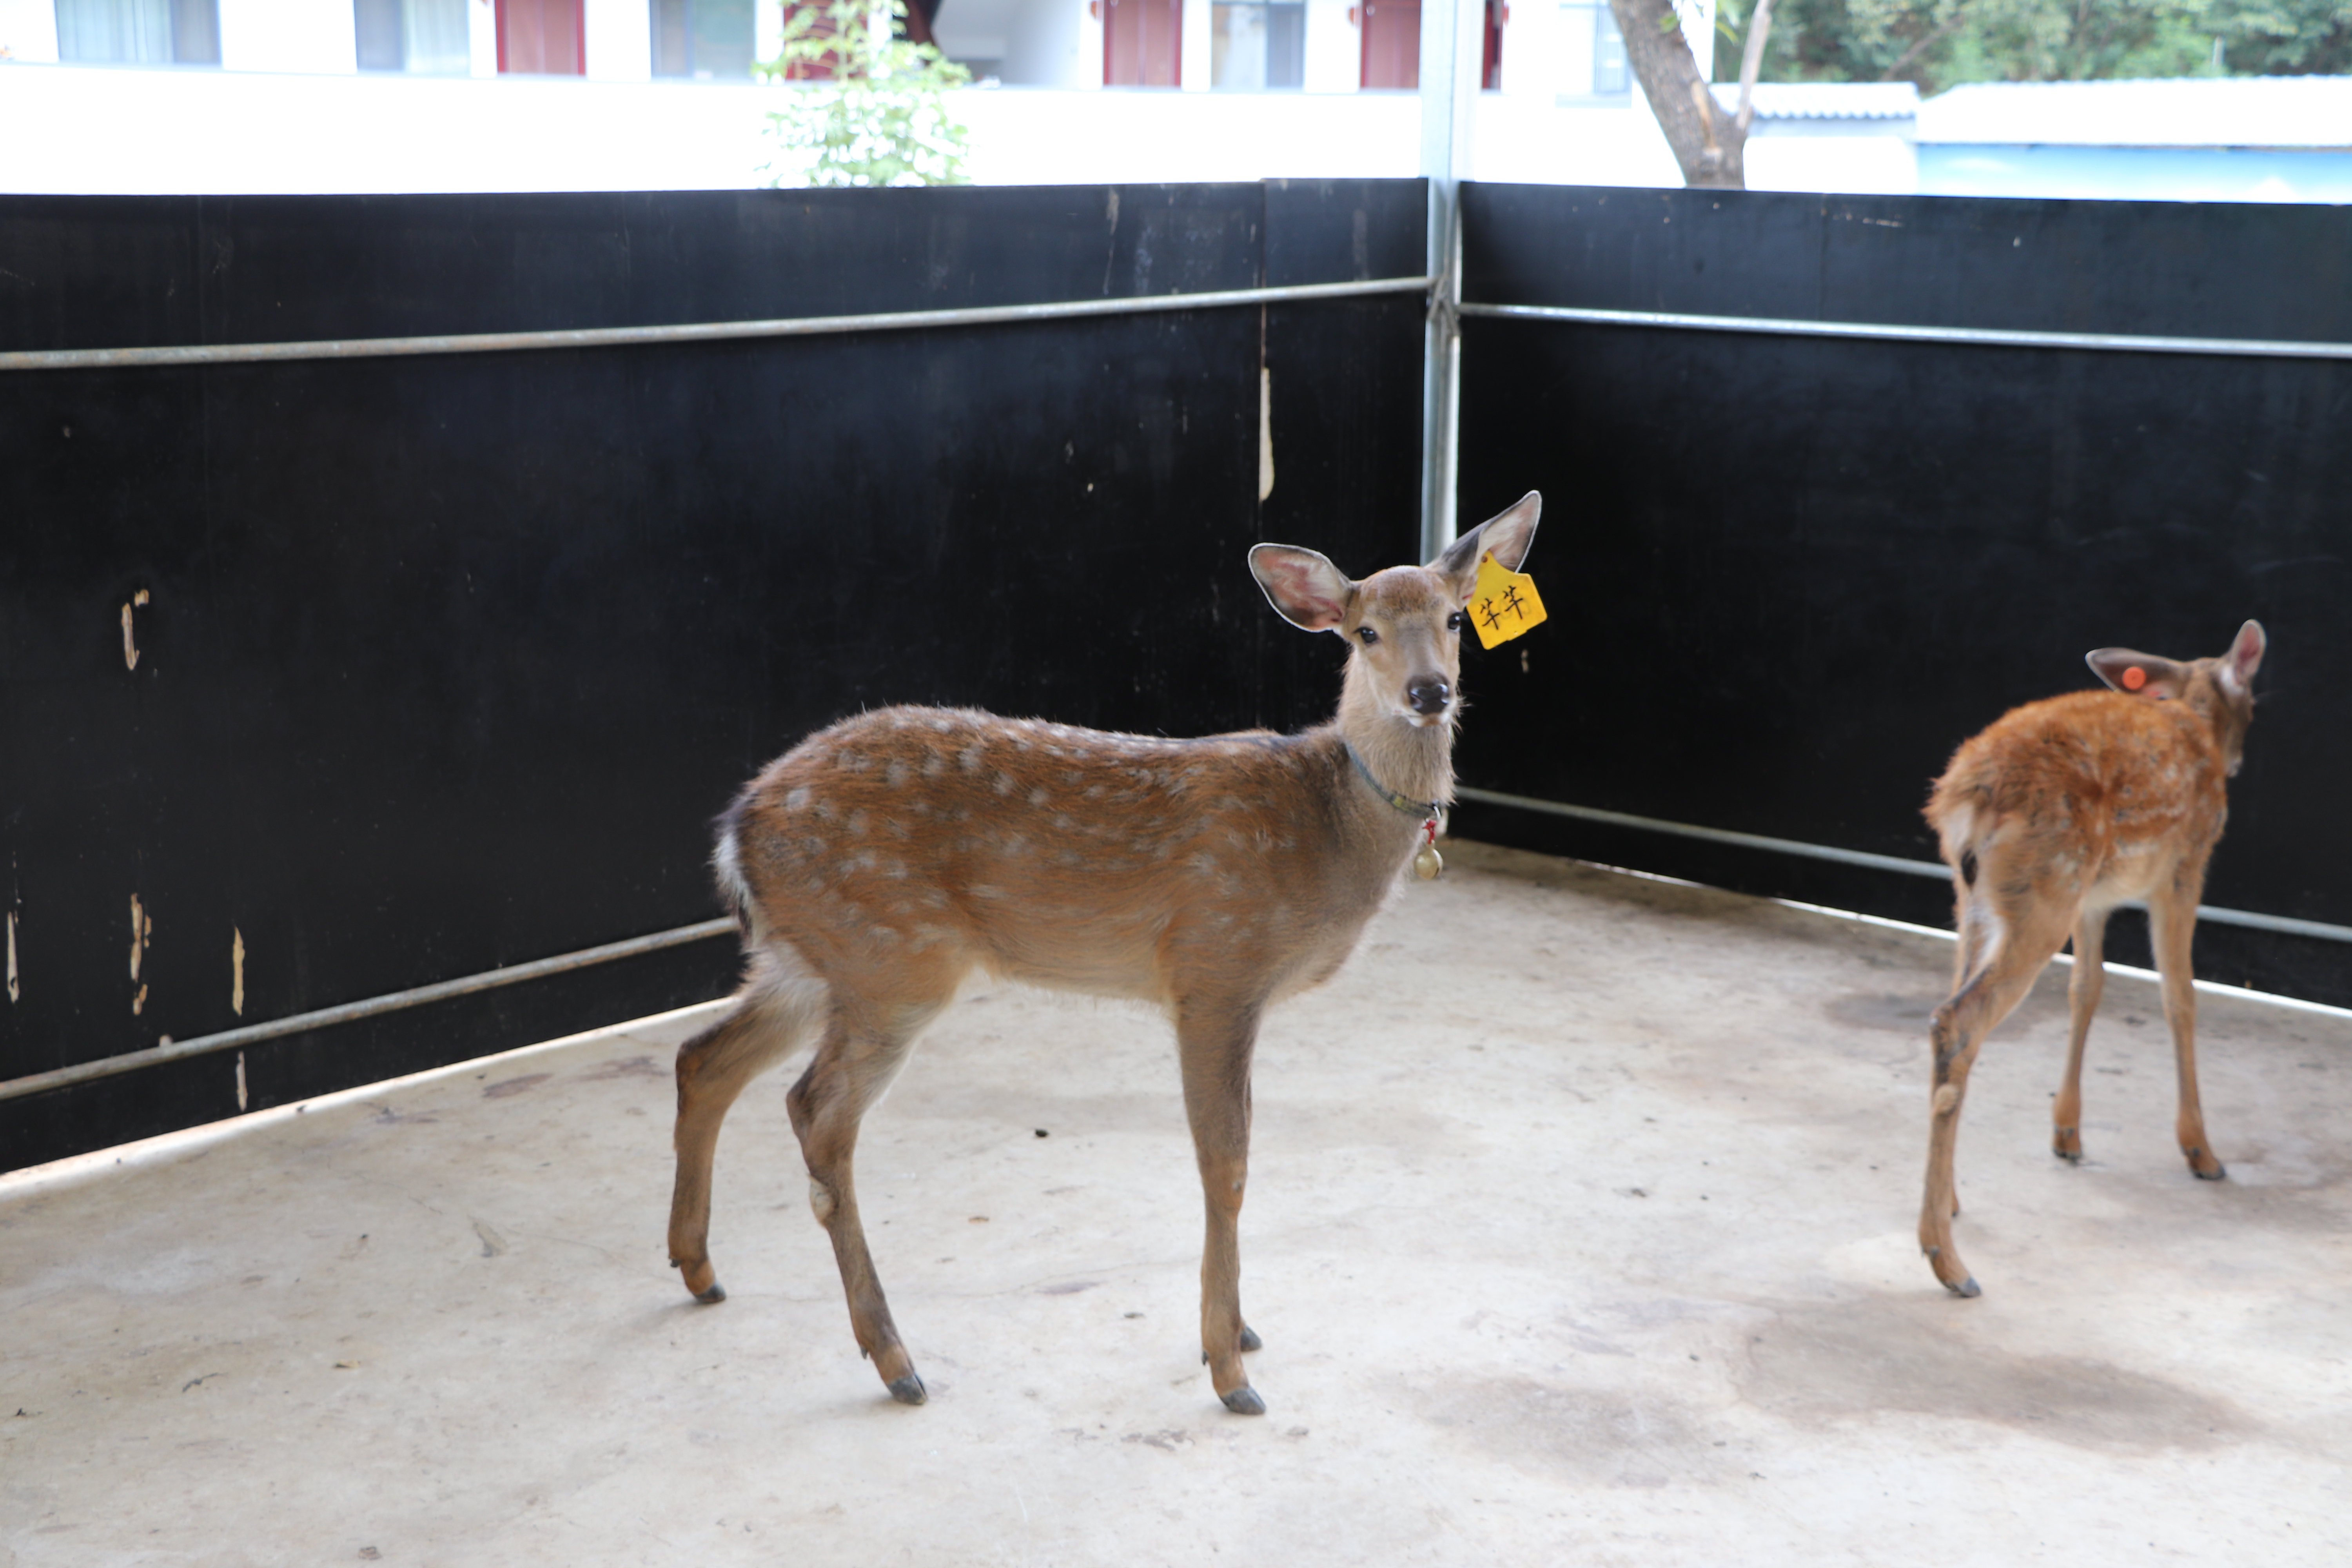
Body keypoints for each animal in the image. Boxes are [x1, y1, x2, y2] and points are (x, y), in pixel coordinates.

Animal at [663, 496, 1543, 1420]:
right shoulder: (1215, 966)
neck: (1328, 826)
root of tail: (738, 829)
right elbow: (1227, 1163)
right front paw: (1230, 1366)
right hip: (891, 958)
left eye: (1454, 619)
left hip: (814, 958)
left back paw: (700, 1268)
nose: (1429, 692)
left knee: (704, 1057)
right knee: (815, 1111)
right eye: (1364, 631)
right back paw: (895, 1358)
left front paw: (1241, 1331)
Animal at [1919, 621, 2267, 1298]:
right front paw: (2201, 1152)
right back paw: (1948, 1262)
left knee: (1951, 1010)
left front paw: (2068, 1133)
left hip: (1978, 896)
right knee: (1956, 1021)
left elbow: (2088, 987)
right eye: (2257, 703)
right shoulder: (2185, 867)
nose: (2240, 762)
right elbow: (2179, 996)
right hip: (2046, 885)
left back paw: (1950, 1202)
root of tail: (1964, 795)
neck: (2192, 716)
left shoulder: (2095, 899)